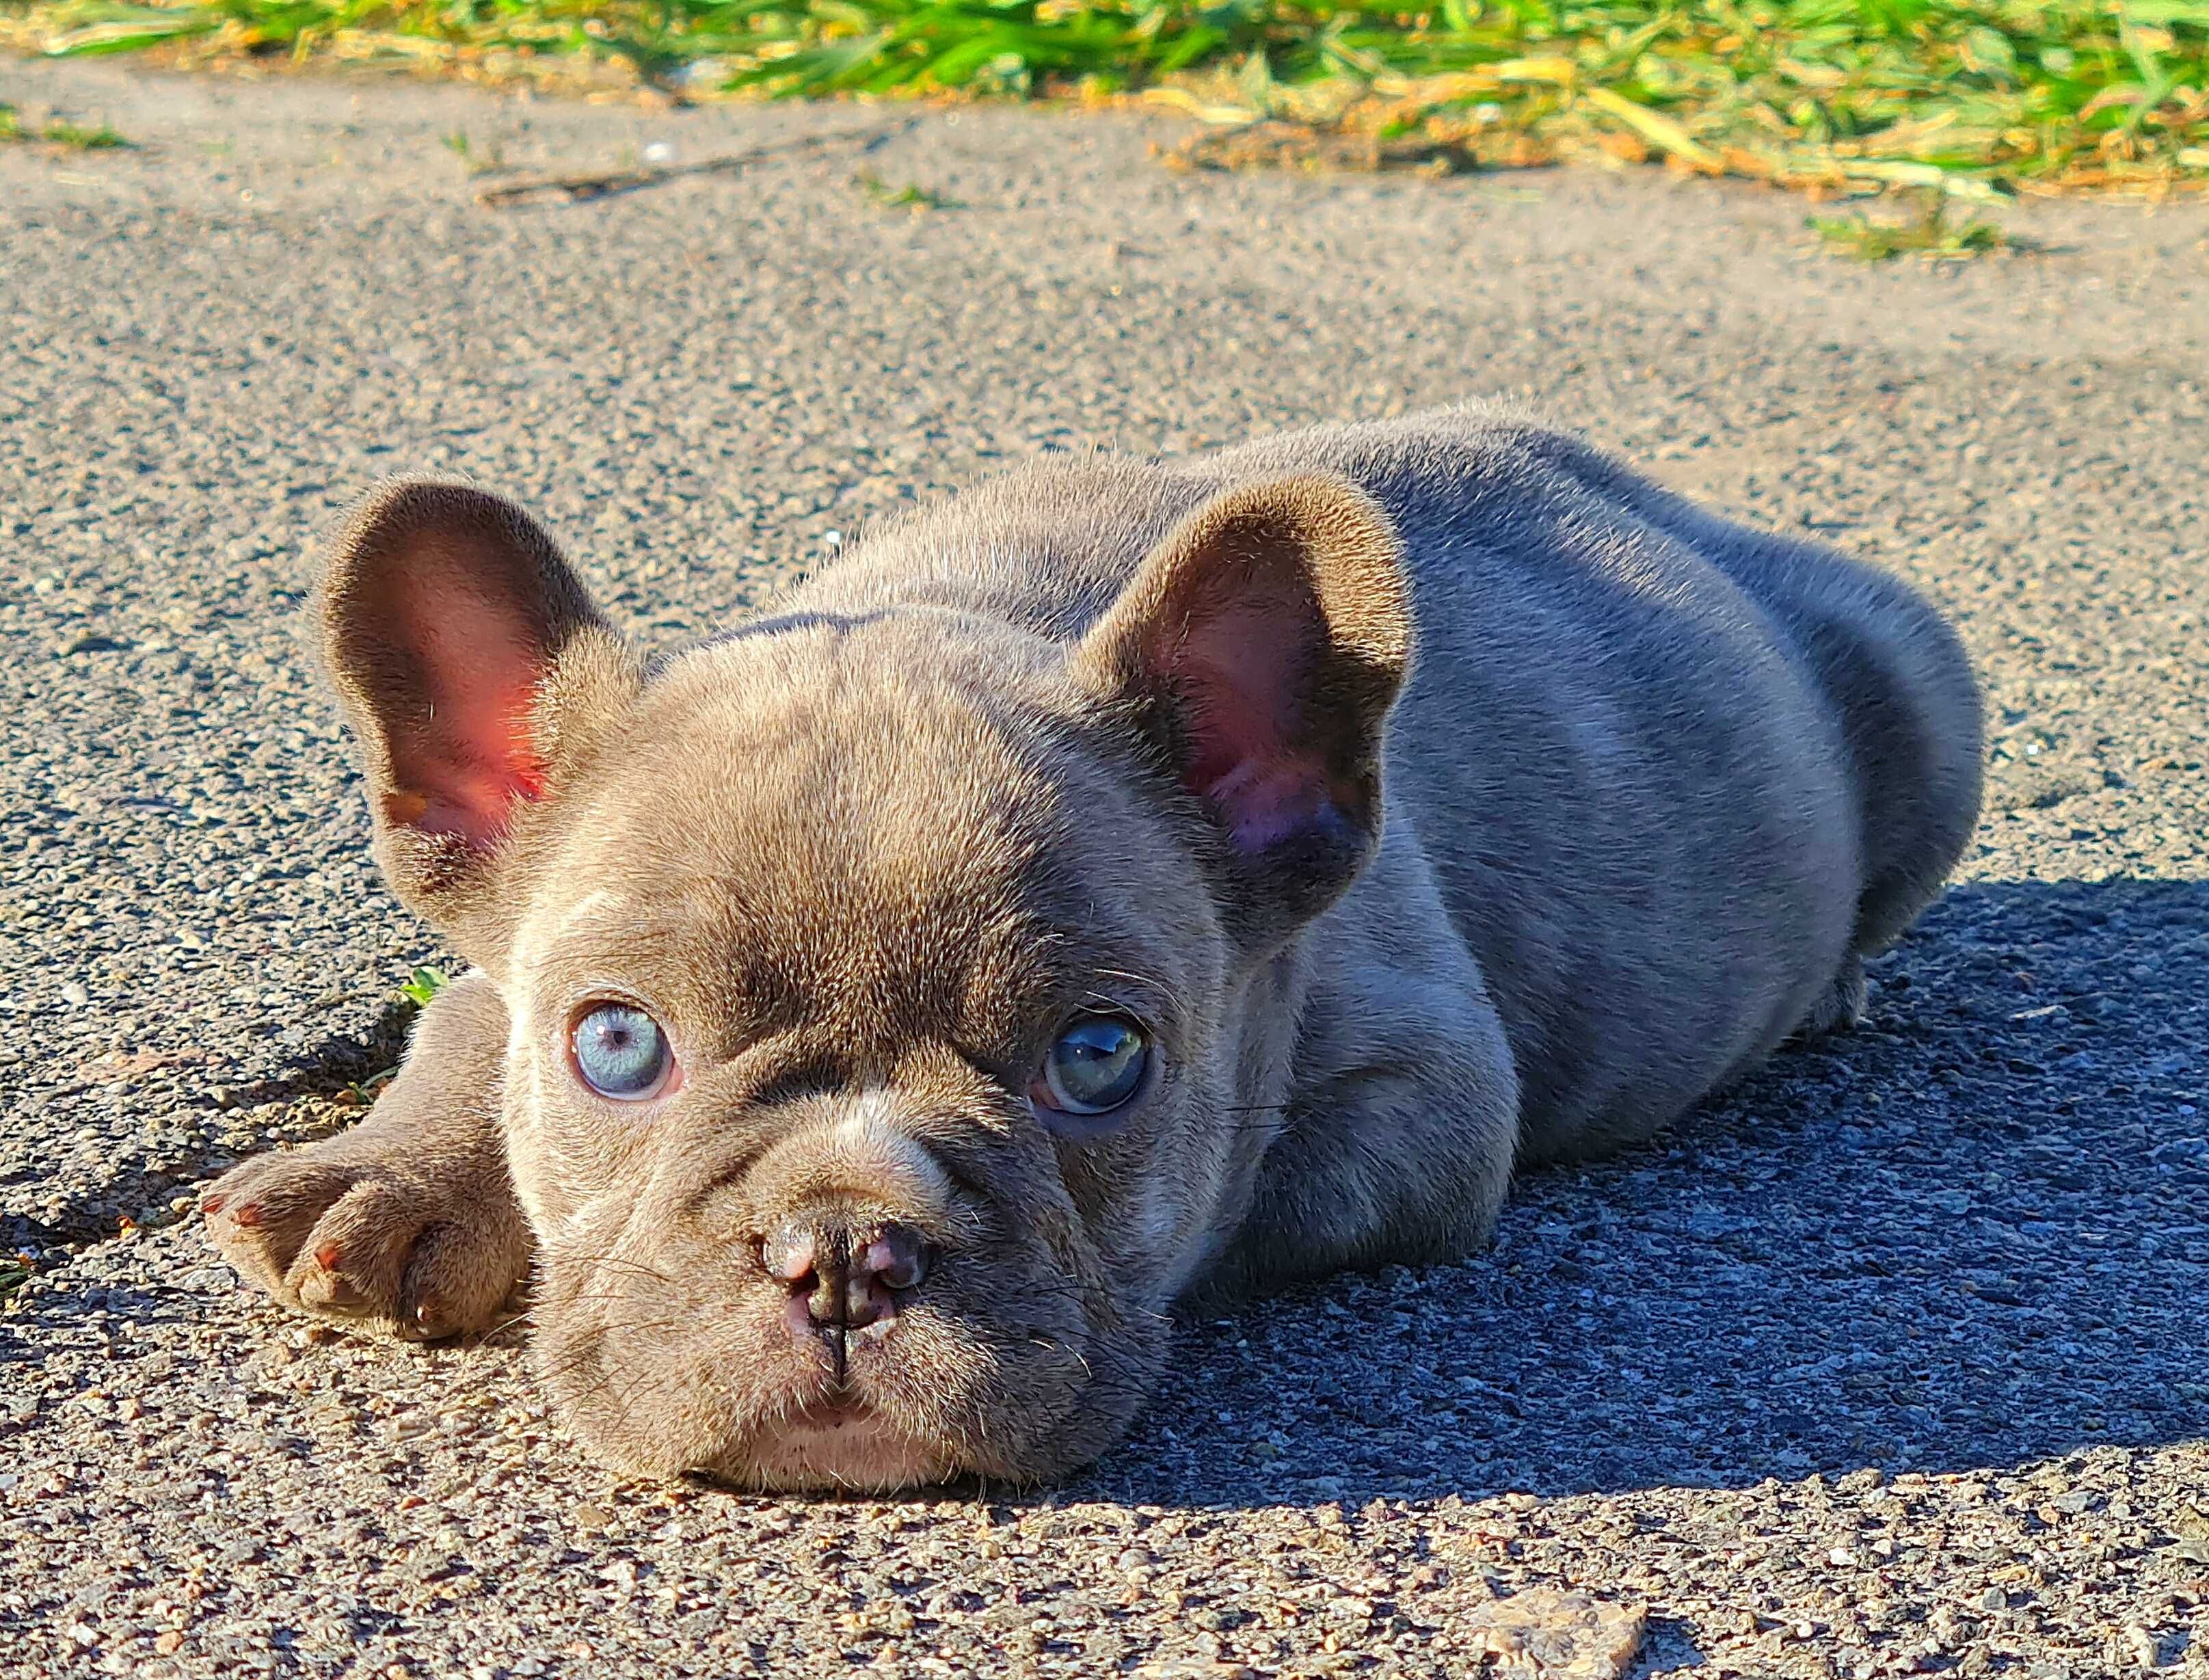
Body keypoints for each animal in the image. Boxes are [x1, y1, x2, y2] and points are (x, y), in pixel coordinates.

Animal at [198, 411, 1979, 1494]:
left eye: (1100, 1060)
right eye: (615, 1045)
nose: (842, 1248)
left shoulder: (1425, 1095)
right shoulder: (492, 961)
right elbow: (450, 1027)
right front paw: (380, 1181)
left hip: (1923, 685)